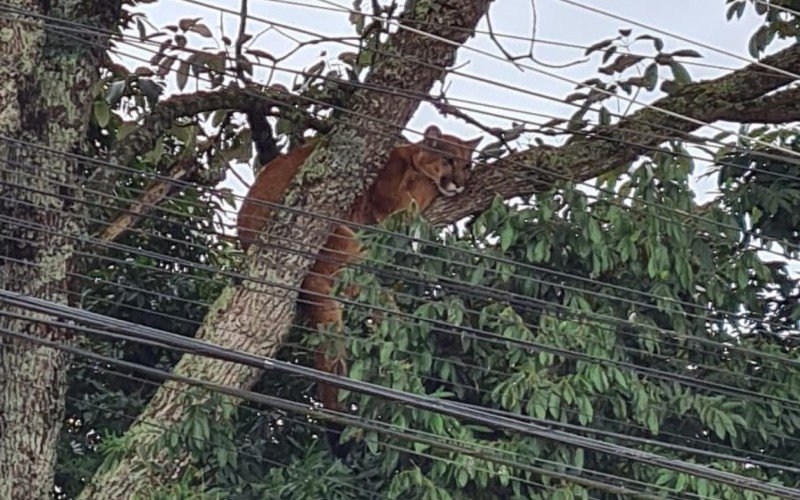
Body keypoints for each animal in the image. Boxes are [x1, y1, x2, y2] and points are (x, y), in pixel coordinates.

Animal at [234, 126, 478, 414]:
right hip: (344, 240)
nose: (460, 183)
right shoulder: (392, 206)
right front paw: (435, 185)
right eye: (449, 160)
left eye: (467, 165)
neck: (410, 159)